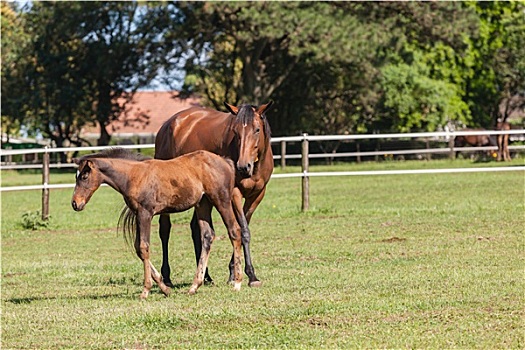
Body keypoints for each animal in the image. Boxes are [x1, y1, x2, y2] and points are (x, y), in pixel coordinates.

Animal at [70, 148, 248, 298]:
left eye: (84, 176)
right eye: (76, 177)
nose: (75, 203)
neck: (133, 175)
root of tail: (225, 161)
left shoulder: (145, 214)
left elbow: (144, 247)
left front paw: (146, 290)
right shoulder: (138, 215)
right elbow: (138, 248)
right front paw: (165, 288)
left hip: (221, 200)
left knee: (234, 231)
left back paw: (237, 283)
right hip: (202, 204)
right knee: (207, 236)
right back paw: (194, 286)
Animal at [154, 100, 272, 288]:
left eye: (257, 129)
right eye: (235, 131)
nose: (242, 167)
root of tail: (168, 124)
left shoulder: (257, 195)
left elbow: (243, 228)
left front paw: (233, 273)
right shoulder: (234, 193)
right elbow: (243, 230)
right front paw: (251, 275)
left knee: (196, 230)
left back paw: (206, 276)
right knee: (165, 229)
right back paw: (167, 277)